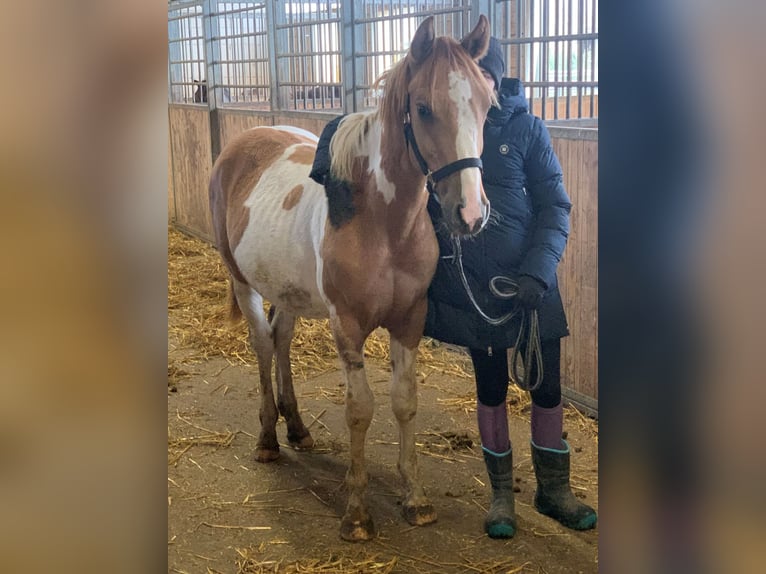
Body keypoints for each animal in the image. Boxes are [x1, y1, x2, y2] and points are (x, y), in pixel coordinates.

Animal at [210, 15, 496, 544]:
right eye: (423, 108)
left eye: (488, 103)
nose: (469, 213)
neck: (382, 222)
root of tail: (240, 146)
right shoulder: (346, 325)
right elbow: (360, 410)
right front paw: (358, 512)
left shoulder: (409, 320)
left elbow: (405, 402)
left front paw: (416, 499)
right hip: (244, 283)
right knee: (262, 345)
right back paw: (268, 438)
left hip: (290, 292)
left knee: (281, 340)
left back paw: (297, 428)